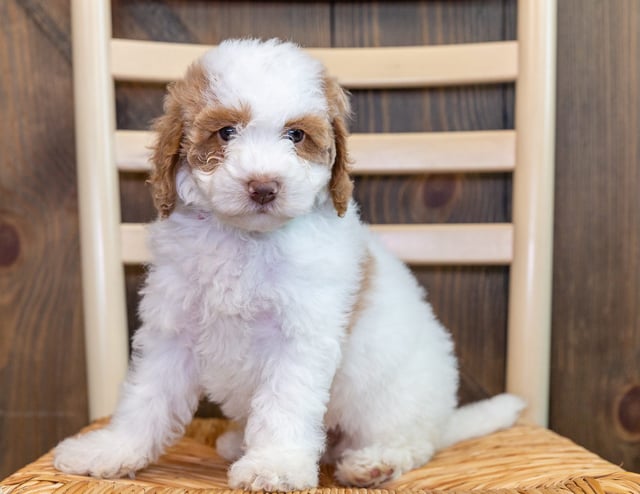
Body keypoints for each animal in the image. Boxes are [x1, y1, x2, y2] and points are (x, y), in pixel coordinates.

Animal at [53, 37, 524, 490]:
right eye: (226, 132)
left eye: (296, 136)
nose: (264, 187)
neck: (246, 240)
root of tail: (445, 419)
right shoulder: (173, 328)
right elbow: (145, 397)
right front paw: (110, 450)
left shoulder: (300, 335)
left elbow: (284, 403)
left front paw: (274, 466)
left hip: (395, 401)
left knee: (412, 443)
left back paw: (374, 463)